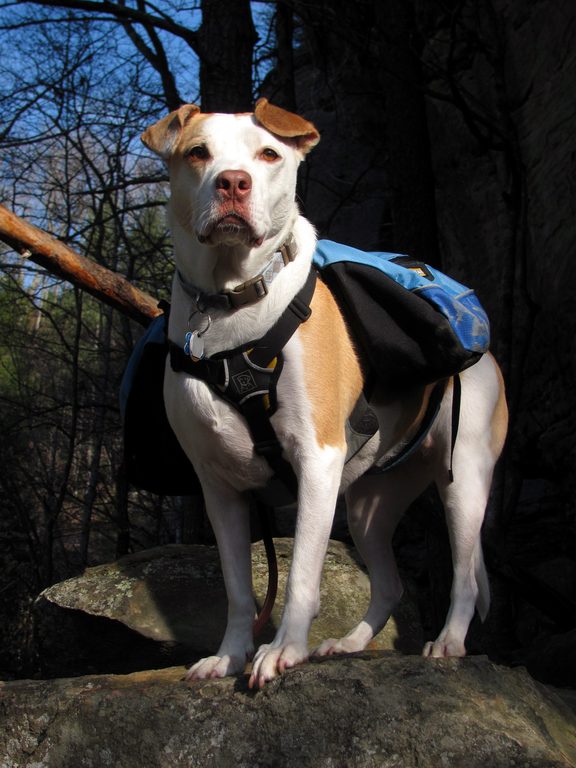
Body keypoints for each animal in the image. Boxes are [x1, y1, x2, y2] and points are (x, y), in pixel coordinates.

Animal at [142, 97, 506, 688]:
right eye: (198, 152)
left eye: (268, 154)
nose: (234, 183)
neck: (231, 306)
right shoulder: (219, 488)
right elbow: (238, 590)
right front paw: (230, 655)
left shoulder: (317, 459)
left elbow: (301, 577)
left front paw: (282, 650)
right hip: (369, 505)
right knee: (390, 583)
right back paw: (350, 643)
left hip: (464, 482)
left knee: (466, 577)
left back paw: (448, 641)